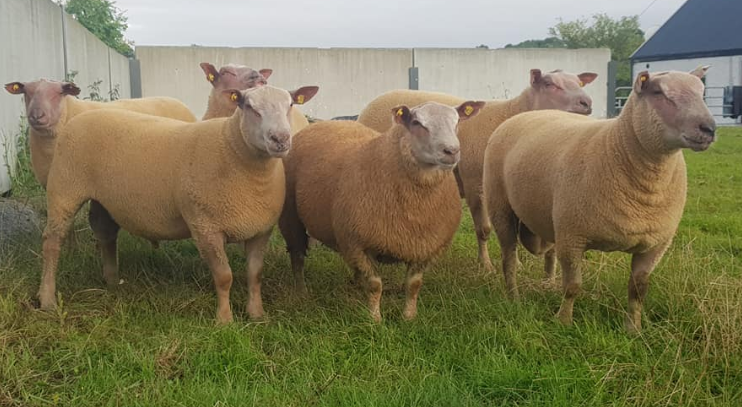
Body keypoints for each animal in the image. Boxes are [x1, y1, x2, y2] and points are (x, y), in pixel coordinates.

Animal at [38, 84, 320, 323]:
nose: (280, 139)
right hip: (64, 187)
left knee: (105, 232)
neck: (234, 152)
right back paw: (47, 299)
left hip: (103, 198)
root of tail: (78, 119)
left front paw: (257, 314)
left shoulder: (260, 229)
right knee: (52, 243)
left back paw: (112, 281)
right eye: (249, 106)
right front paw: (224, 321)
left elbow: (255, 274)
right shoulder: (205, 226)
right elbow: (224, 277)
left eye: (290, 104)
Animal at [279, 100, 485, 322]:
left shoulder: (425, 246)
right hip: (291, 218)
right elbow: (375, 285)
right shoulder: (359, 243)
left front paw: (409, 317)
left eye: (457, 122)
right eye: (416, 122)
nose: (452, 151)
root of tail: (320, 124)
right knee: (297, 257)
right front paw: (374, 319)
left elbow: (414, 285)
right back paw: (301, 292)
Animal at [356, 69, 598, 275]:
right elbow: (484, 229)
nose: (586, 103)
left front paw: (517, 263)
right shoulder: (475, 184)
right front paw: (486, 265)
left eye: (579, 83)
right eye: (549, 84)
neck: (510, 115)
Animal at [482, 67, 716, 333]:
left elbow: (638, 289)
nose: (709, 128)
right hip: (501, 207)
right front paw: (564, 322)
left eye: (701, 92)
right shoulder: (572, 236)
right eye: (658, 92)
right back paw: (514, 298)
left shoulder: (656, 244)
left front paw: (633, 329)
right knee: (509, 258)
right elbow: (572, 287)